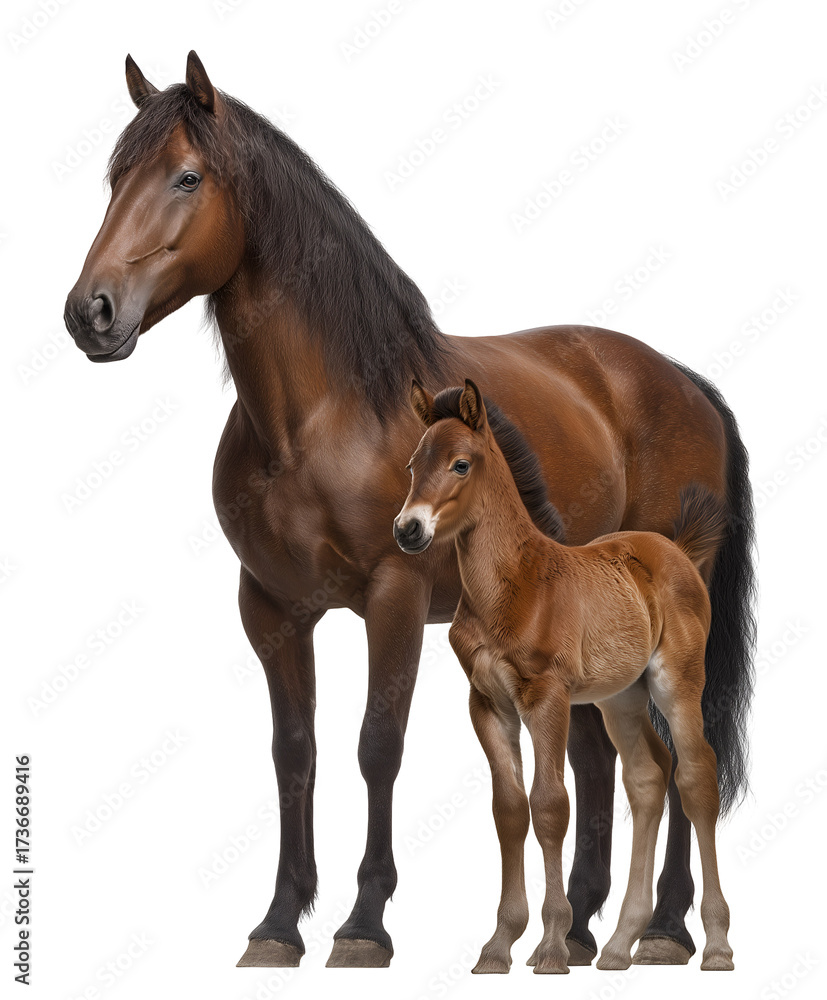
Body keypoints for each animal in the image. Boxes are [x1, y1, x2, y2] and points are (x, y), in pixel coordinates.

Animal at [395, 379, 735, 974]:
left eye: (461, 464)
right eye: (414, 464)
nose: (408, 529)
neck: (511, 585)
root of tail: (675, 549)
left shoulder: (548, 699)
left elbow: (551, 805)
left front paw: (552, 945)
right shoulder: (487, 705)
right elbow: (509, 809)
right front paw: (498, 945)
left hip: (677, 684)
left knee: (696, 775)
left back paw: (712, 945)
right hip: (621, 698)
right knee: (647, 778)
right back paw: (620, 945)